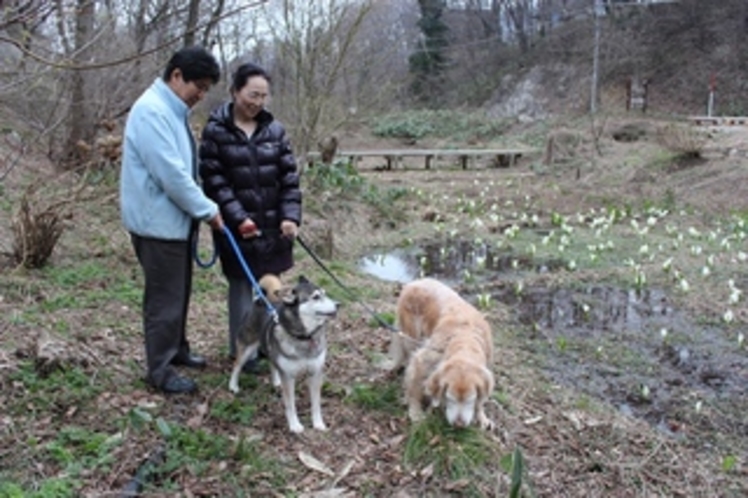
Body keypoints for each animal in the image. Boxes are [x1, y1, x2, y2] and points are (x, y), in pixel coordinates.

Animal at [225, 274, 336, 434]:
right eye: (316, 297)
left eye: (325, 294)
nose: (338, 304)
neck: (304, 337)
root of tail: (260, 301)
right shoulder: (289, 377)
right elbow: (291, 405)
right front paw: (295, 425)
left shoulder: (315, 373)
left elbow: (316, 404)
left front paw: (318, 423)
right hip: (247, 348)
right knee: (237, 366)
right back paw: (233, 386)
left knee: (273, 363)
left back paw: (276, 382)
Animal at [388, 278, 494, 430]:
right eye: (450, 399)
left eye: (470, 400)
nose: (458, 425)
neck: (465, 338)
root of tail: (414, 282)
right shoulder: (422, 360)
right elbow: (415, 388)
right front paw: (415, 411)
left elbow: (481, 399)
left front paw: (481, 416)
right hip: (411, 336)